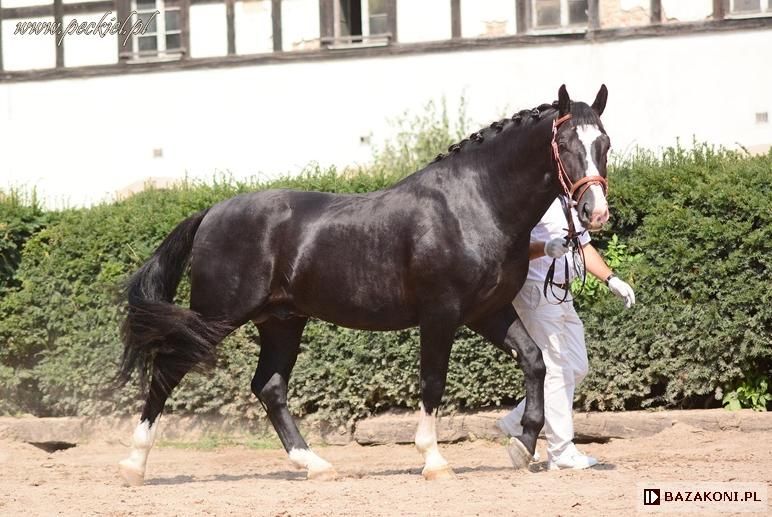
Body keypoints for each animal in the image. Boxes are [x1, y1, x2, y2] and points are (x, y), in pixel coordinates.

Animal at [116, 84, 608, 484]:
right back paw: (134, 466)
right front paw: (434, 461)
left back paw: (314, 464)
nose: (596, 212)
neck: (473, 203)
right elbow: (433, 382)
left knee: (269, 387)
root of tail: (211, 213)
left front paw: (522, 445)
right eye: (566, 144)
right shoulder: (441, 314)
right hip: (217, 316)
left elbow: (535, 361)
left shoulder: (487, 312)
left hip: (281, 322)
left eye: (604, 142)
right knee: (167, 369)